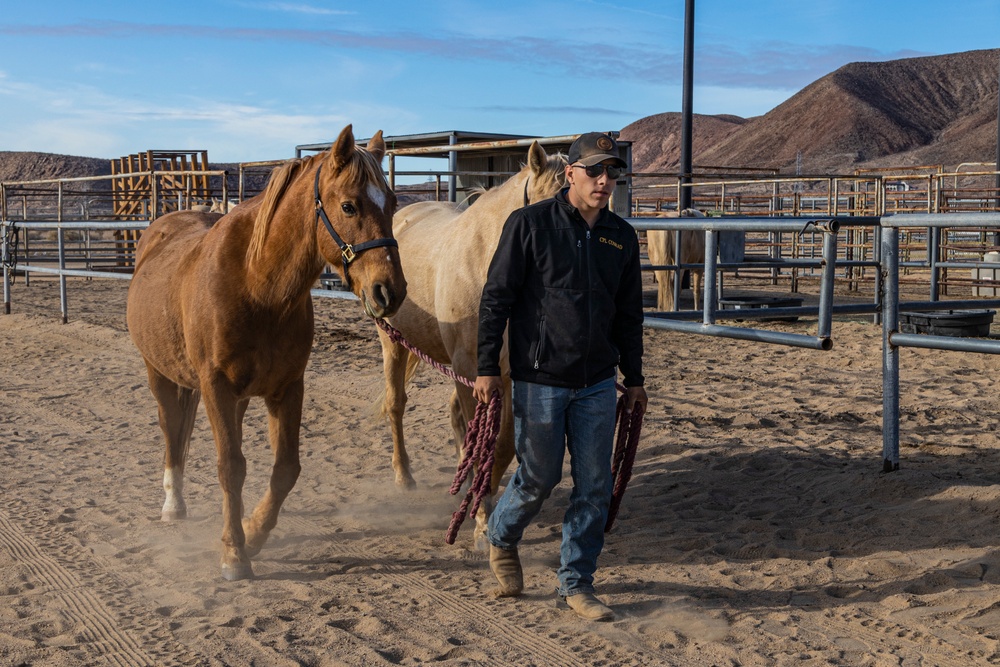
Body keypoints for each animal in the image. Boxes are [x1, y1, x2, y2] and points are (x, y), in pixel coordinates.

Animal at [128, 124, 406, 580]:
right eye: (349, 205)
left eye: (394, 203)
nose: (390, 291)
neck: (256, 284)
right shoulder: (216, 387)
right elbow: (230, 466)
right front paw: (233, 554)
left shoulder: (287, 388)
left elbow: (285, 469)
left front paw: (254, 531)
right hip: (160, 373)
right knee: (171, 429)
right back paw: (173, 503)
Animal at [376, 140, 568, 548]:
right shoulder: (470, 367)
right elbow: (483, 441)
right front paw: (479, 518)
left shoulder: (506, 375)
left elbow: (503, 444)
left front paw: (484, 502)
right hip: (393, 343)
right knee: (396, 405)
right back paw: (404, 476)